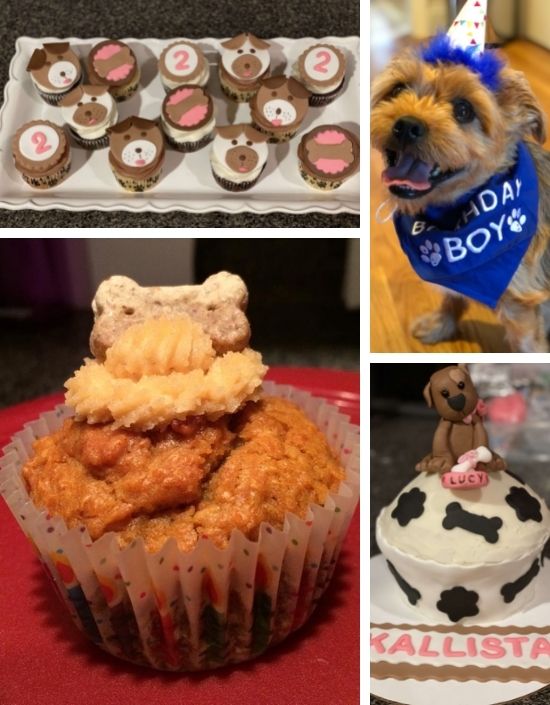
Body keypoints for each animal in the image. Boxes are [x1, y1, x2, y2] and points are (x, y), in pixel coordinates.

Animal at [370, 34, 550, 350]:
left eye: (464, 110)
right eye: (398, 89)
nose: (407, 125)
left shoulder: (522, 309)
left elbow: (527, 346)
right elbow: (450, 297)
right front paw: (440, 326)